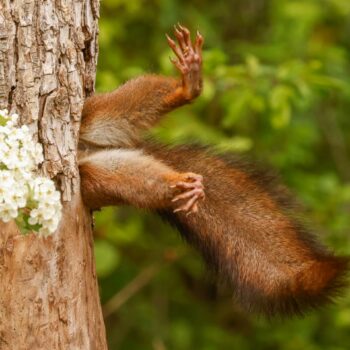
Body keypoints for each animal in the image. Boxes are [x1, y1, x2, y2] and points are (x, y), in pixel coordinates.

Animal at [78, 24, 348, 318]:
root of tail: (86, 150)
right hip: (94, 178)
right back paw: (181, 184)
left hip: (92, 115)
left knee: (123, 108)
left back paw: (187, 87)